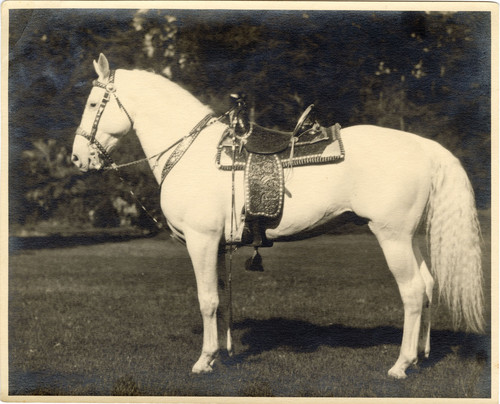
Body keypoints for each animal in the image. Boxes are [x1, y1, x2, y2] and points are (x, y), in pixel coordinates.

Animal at [72, 53, 482, 378]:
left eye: (93, 104)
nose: (78, 158)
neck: (191, 153)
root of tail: (425, 147)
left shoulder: (201, 241)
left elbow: (207, 299)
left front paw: (204, 361)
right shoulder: (218, 245)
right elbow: (221, 297)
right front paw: (221, 354)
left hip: (392, 236)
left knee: (412, 291)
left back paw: (401, 365)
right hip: (411, 237)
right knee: (428, 285)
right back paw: (422, 356)